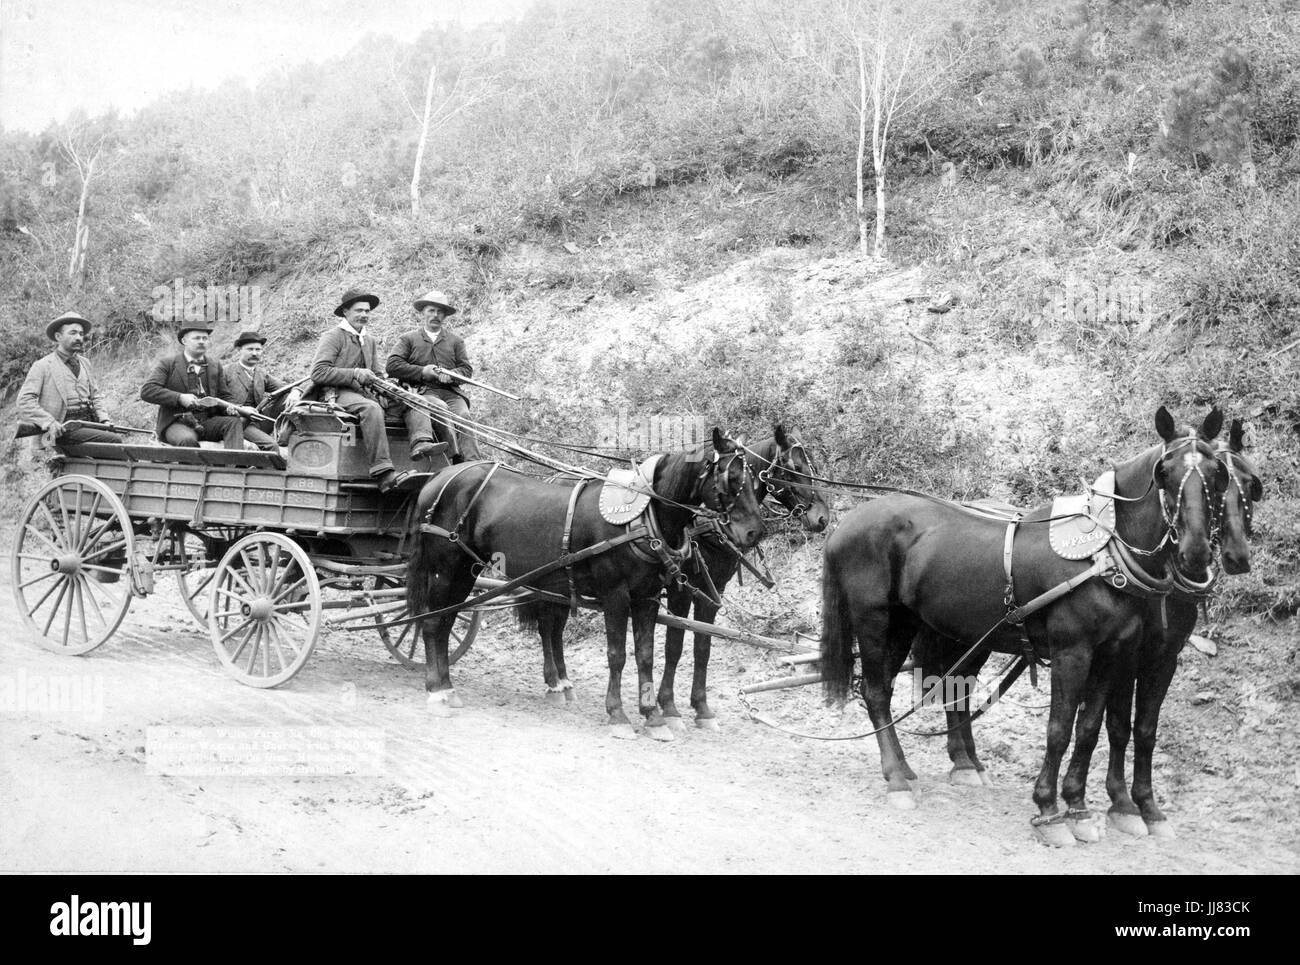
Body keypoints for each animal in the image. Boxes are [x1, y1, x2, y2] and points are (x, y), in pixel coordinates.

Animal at [405, 431, 764, 738]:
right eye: (732, 478)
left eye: (754, 480)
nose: (754, 532)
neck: (642, 517)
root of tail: (438, 479)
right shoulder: (616, 595)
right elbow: (617, 655)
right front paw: (618, 714)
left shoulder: (647, 597)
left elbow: (646, 654)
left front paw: (653, 717)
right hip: (445, 570)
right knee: (434, 624)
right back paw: (437, 691)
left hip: (467, 572)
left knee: (450, 621)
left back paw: (448, 686)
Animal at [660, 426, 832, 728]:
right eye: (796, 467)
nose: (822, 518)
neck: (708, 525)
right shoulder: (681, 590)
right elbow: (674, 644)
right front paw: (667, 705)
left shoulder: (713, 591)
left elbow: (703, 646)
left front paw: (701, 707)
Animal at [821, 408, 1227, 847]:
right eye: (1164, 472)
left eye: (1217, 472)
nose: (1195, 551)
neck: (1103, 557)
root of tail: (844, 524)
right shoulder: (1073, 653)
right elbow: (1059, 730)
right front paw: (1049, 810)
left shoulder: (1111, 655)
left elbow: (1088, 728)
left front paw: (1078, 808)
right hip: (876, 621)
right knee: (876, 692)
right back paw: (897, 779)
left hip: (912, 626)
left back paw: (918, 768)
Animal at [1092, 418, 1263, 842]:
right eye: (1164, 475)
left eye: (1248, 483)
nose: (1236, 556)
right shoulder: (1126, 656)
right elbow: (1118, 725)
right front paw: (1121, 802)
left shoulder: (1165, 657)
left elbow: (1146, 728)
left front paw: (1147, 805)